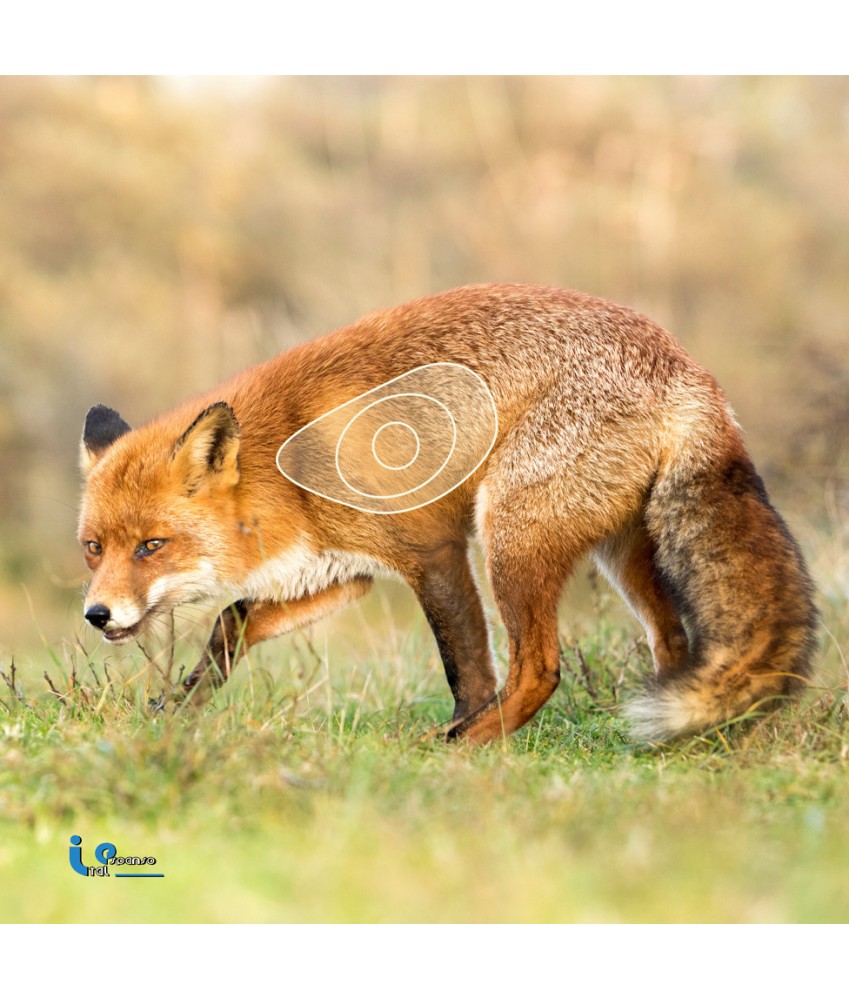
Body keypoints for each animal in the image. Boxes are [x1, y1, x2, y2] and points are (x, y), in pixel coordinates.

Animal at [77, 283, 818, 743]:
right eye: (93, 548)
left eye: (151, 546)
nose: (96, 615)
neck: (287, 470)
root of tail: (688, 369)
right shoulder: (344, 570)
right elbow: (232, 621)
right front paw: (178, 706)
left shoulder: (431, 547)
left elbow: (467, 668)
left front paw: (458, 736)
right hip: (622, 551)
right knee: (673, 642)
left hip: (511, 537)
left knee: (539, 669)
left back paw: (463, 744)